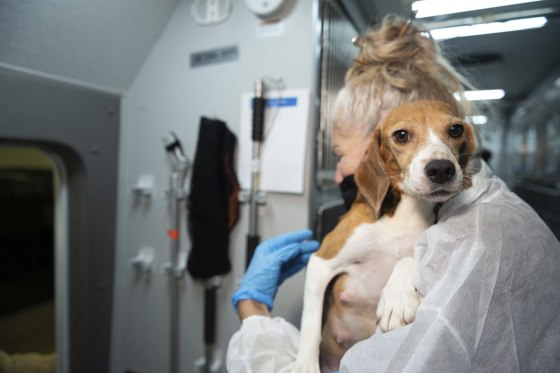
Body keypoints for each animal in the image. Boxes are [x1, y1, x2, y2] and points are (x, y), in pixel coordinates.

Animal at [296, 99, 474, 372]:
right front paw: (304, 364)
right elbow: (310, 324)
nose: (442, 168)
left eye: (455, 130)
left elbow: (408, 256)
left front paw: (396, 299)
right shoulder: (322, 261)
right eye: (401, 135)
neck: (405, 212)